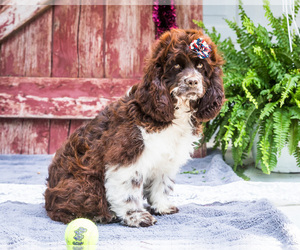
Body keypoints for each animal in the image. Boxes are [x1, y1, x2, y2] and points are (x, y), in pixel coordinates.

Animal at [44, 28, 223, 228]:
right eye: (176, 66)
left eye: (200, 66)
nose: (192, 82)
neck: (171, 113)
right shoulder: (126, 156)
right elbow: (129, 189)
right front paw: (137, 216)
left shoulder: (166, 158)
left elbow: (162, 184)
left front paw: (162, 206)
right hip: (83, 182)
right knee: (64, 208)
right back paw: (101, 215)